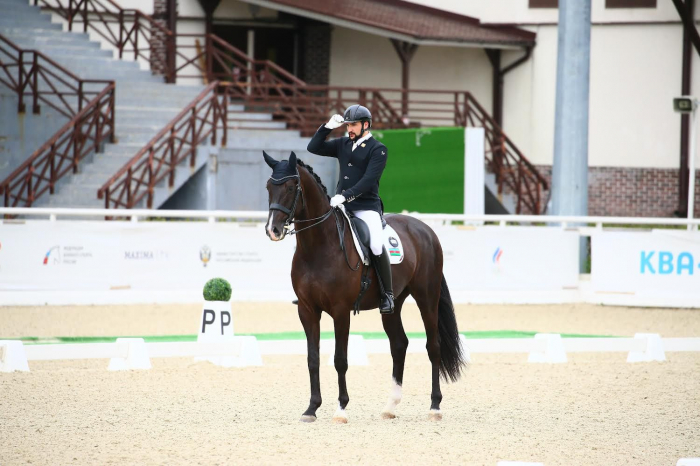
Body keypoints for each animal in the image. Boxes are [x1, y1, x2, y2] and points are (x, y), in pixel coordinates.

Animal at [262, 151, 464, 424]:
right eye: (269, 187)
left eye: (292, 187)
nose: (272, 230)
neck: (319, 245)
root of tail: (425, 229)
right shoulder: (307, 310)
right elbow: (313, 359)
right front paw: (311, 409)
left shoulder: (340, 311)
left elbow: (340, 359)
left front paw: (341, 409)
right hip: (392, 305)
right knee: (399, 345)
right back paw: (390, 406)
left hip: (427, 297)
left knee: (433, 346)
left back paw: (434, 407)